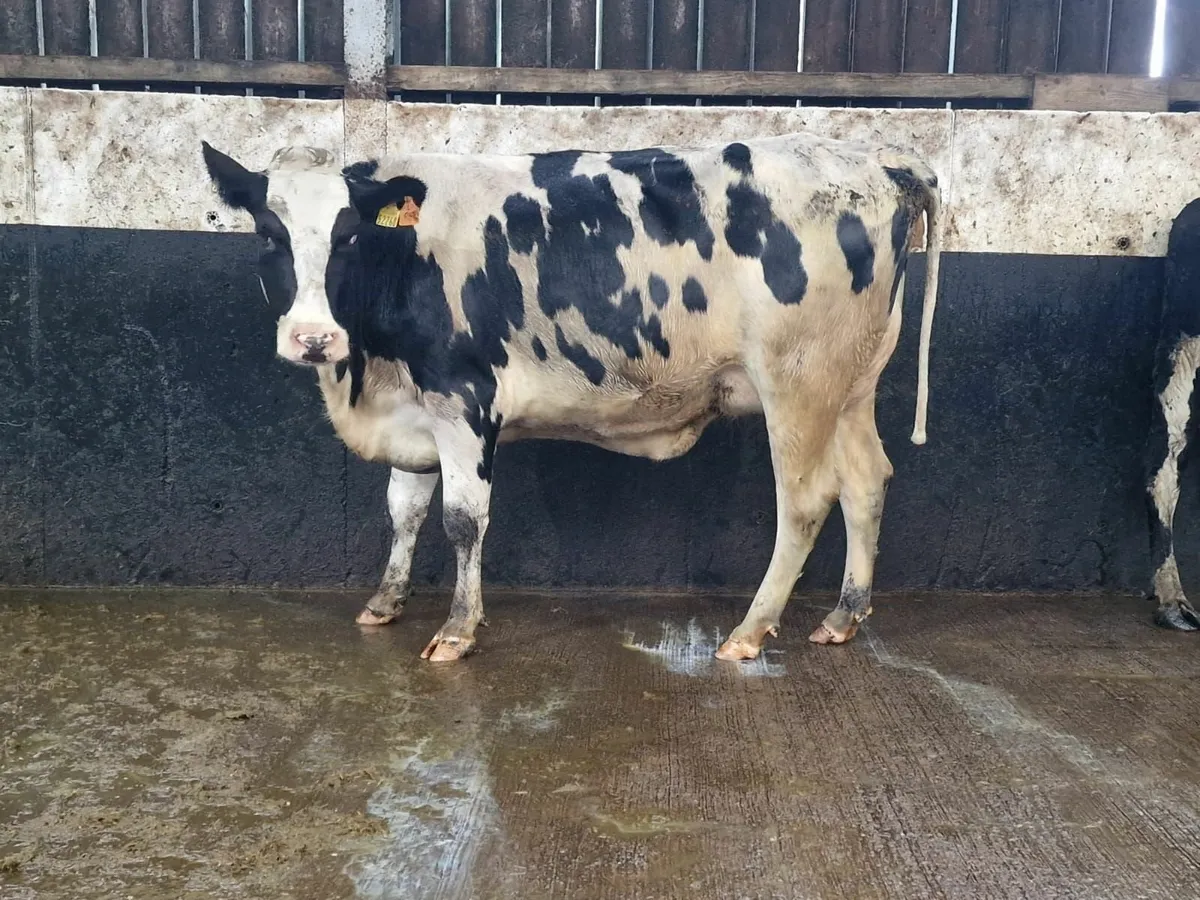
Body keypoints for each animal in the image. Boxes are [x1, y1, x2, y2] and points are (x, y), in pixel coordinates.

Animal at [200, 131, 942, 663]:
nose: (313, 338)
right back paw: (844, 615)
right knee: (866, 481)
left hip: (796, 382)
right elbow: (403, 511)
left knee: (806, 501)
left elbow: (462, 521)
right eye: (268, 233)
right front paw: (385, 604)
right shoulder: (416, 413)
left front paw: (458, 629)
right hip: (851, 384)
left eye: (349, 235)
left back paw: (749, 632)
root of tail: (875, 159)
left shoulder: (465, 400)